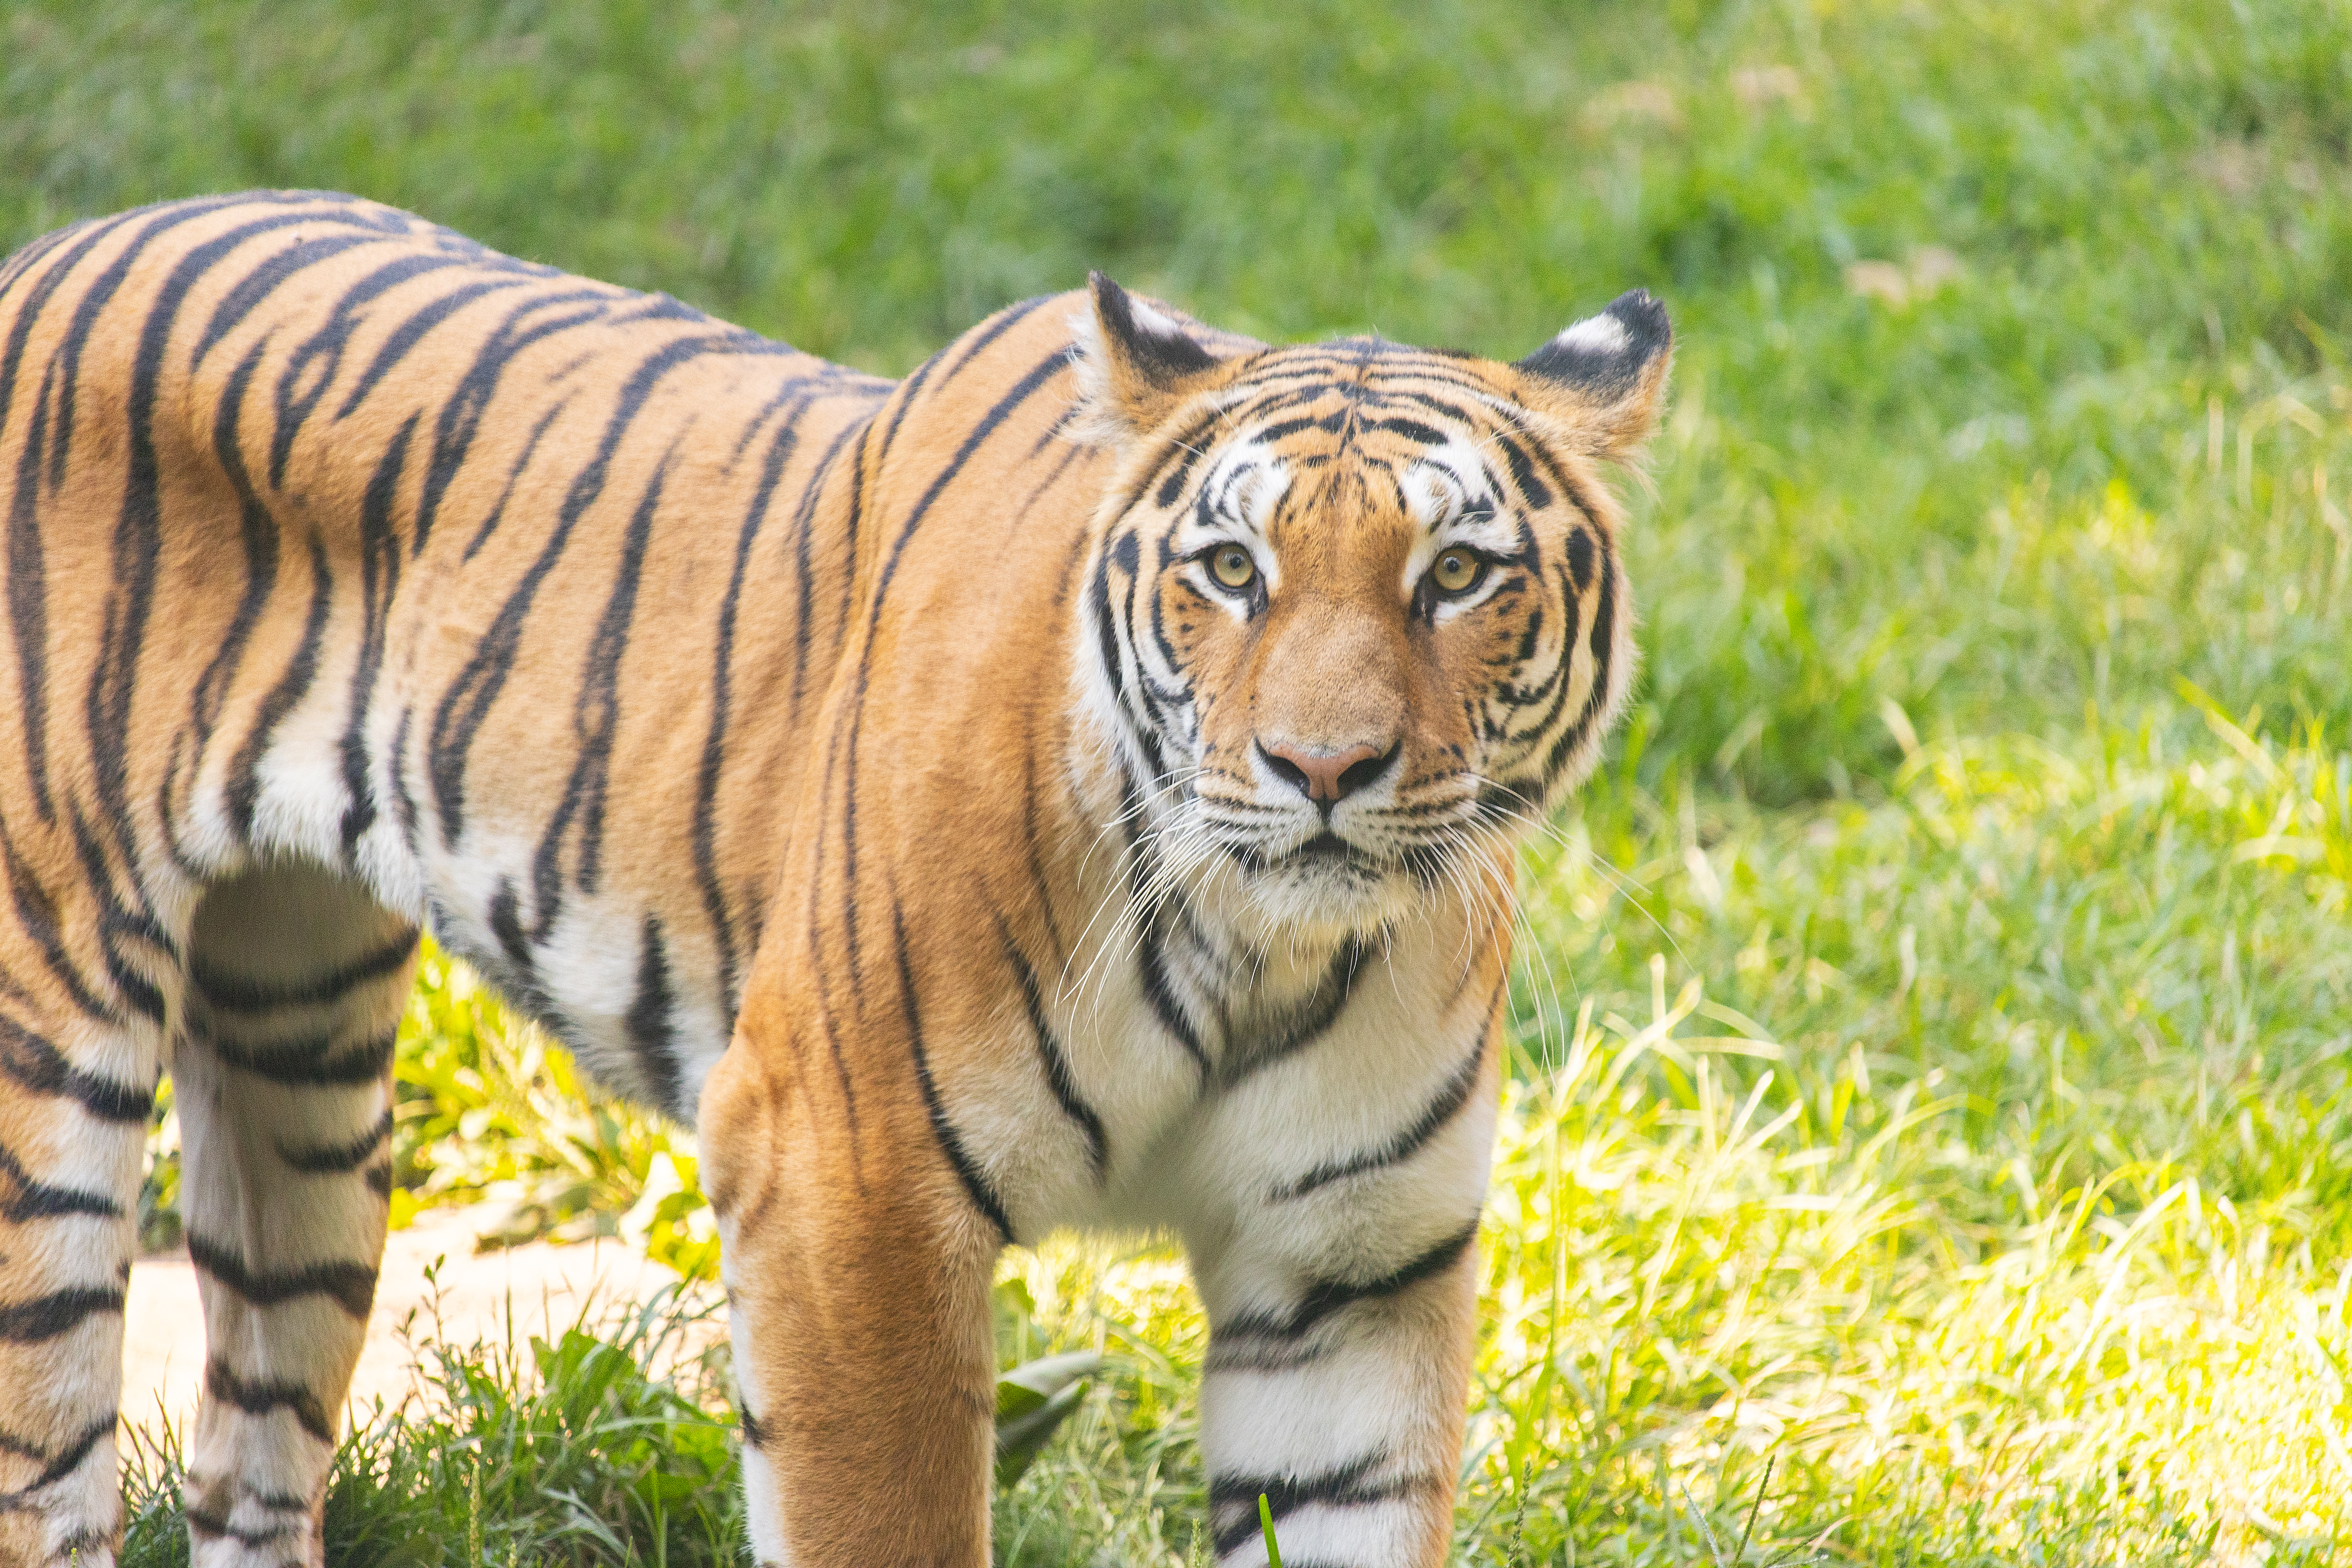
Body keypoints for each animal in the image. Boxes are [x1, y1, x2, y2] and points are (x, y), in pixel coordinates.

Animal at [0, 191, 1667, 1567]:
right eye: (1231, 571)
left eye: (1455, 575)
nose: (1323, 767)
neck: (1266, 947)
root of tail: (58, 245)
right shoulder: (844, 1182)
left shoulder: (1347, 1264)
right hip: (49, 1055)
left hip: (304, 1059)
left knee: (249, 1453)